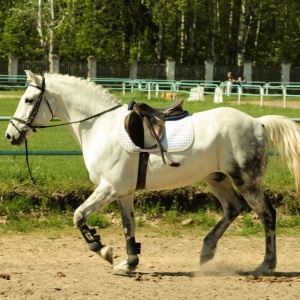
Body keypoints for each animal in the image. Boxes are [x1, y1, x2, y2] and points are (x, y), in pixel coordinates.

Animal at [4, 71, 300, 274]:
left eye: (28, 99)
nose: (10, 135)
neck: (99, 126)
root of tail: (257, 122)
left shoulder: (108, 188)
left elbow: (79, 216)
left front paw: (102, 249)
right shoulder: (122, 192)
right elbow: (128, 226)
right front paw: (129, 262)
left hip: (247, 181)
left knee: (267, 215)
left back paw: (266, 265)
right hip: (217, 179)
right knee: (233, 209)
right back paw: (206, 251)